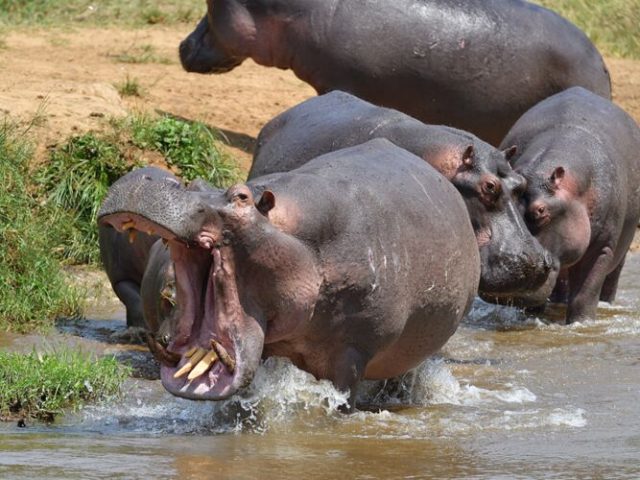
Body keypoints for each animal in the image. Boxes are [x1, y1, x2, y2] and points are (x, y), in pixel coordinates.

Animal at [500, 87, 640, 324]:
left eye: (541, 211)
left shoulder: (602, 248)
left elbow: (584, 295)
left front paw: (581, 324)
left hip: (620, 249)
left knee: (611, 280)